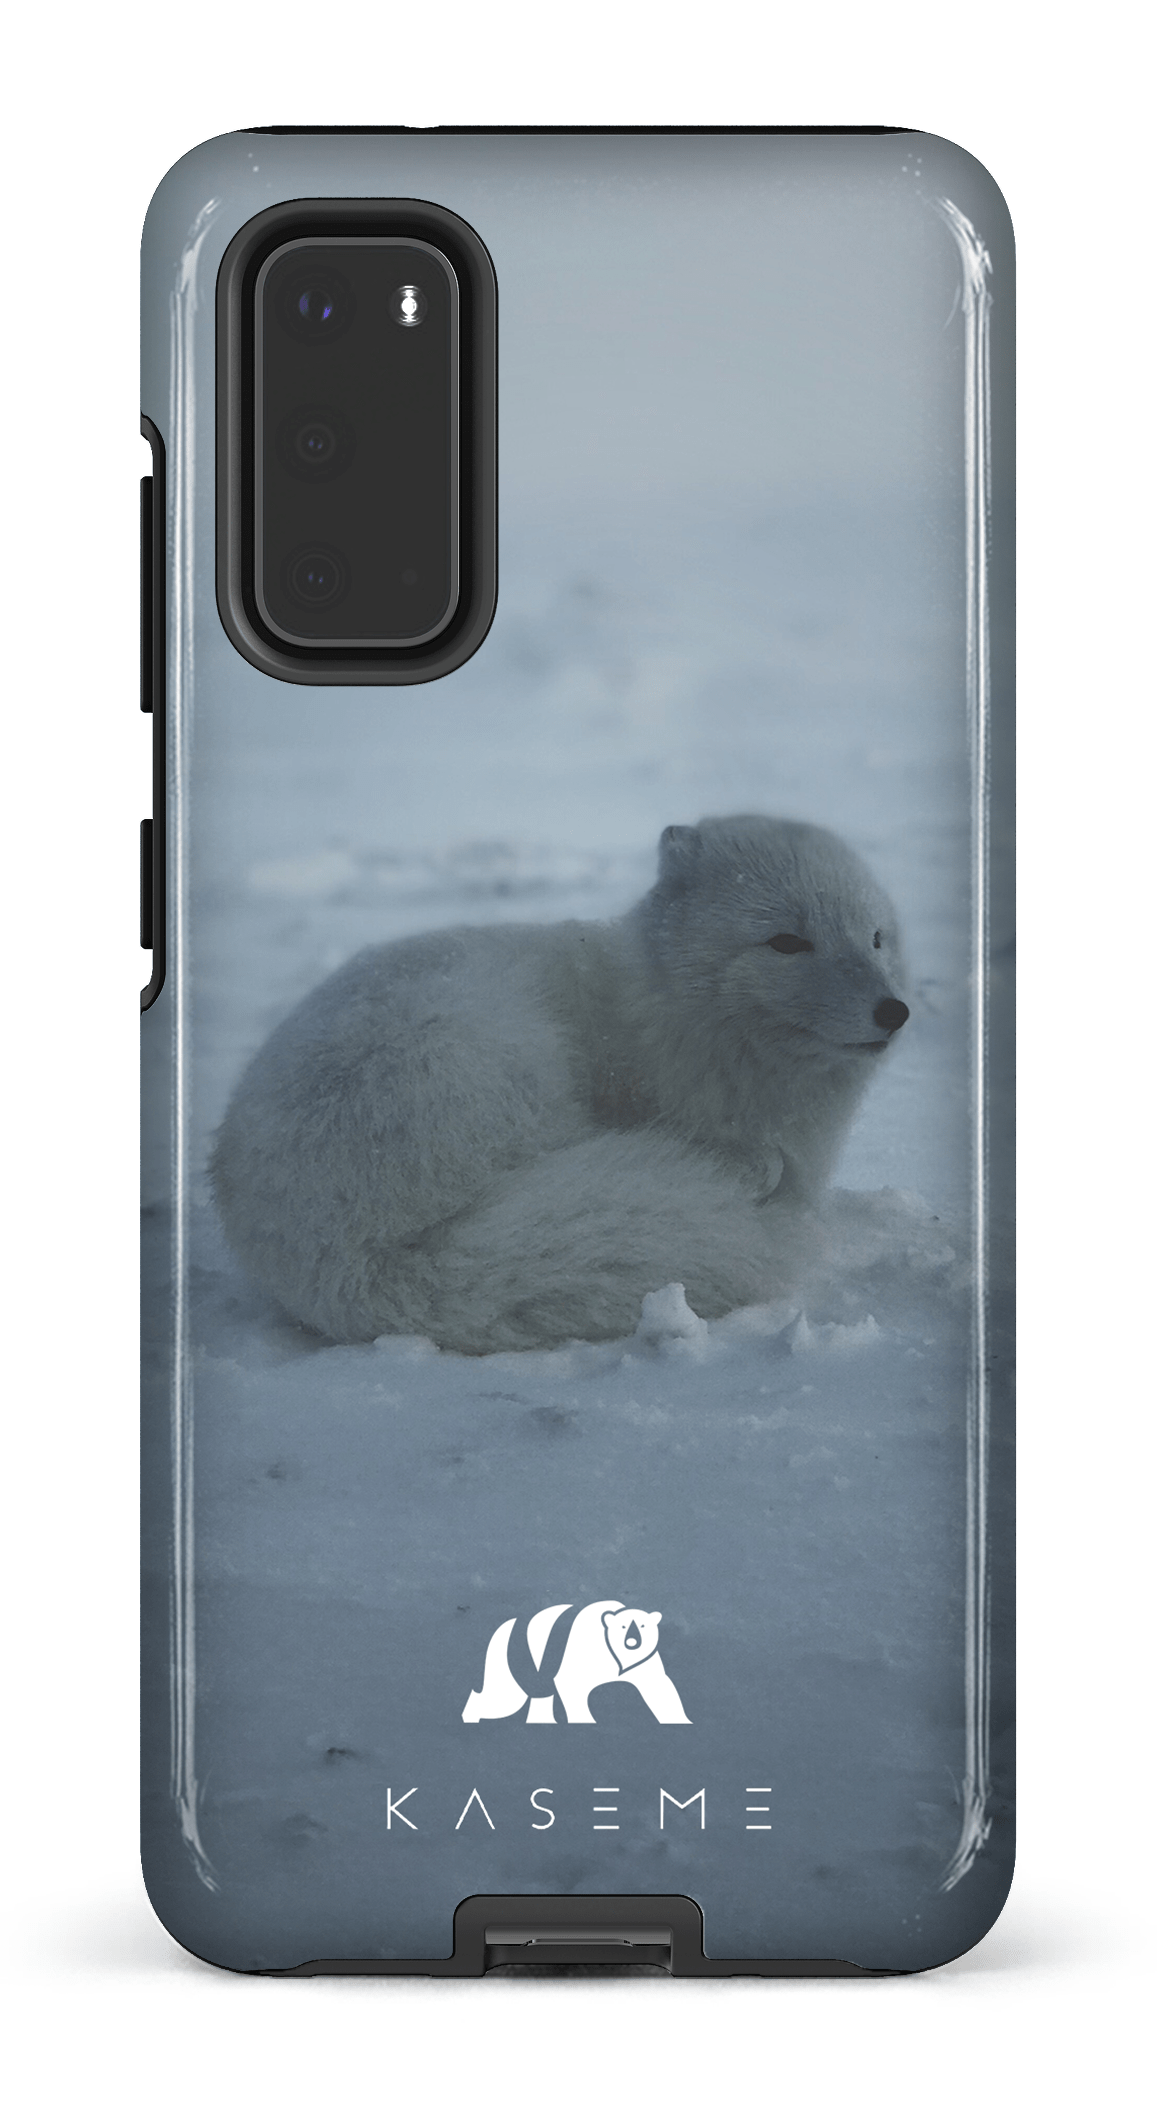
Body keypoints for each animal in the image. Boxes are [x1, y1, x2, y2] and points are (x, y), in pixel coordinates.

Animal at [211, 815, 909, 1353]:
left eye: (875, 937)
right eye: (787, 942)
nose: (894, 1010)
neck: (666, 1013)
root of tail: (351, 1262)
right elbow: (759, 1161)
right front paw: (752, 1169)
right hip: (492, 1058)